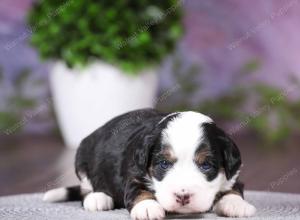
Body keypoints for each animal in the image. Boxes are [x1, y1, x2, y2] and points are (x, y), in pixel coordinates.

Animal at [44, 109, 255, 219]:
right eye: (163, 164)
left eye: (206, 166)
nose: (182, 196)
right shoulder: (134, 174)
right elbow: (139, 191)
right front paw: (147, 207)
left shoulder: (233, 174)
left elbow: (234, 188)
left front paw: (236, 204)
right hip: (82, 156)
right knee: (86, 189)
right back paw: (98, 199)